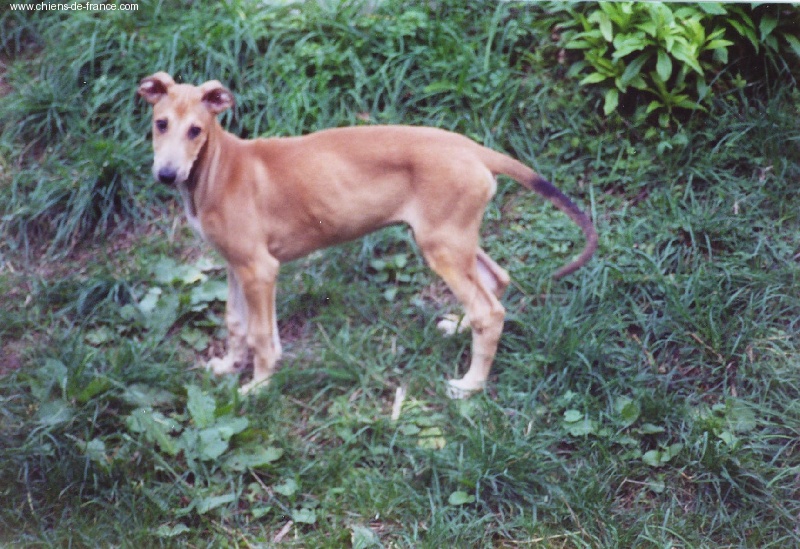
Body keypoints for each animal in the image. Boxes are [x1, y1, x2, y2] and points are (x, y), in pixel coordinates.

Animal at [137, 72, 598, 398]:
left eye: (196, 130)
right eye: (161, 124)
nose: (166, 175)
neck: (217, 169)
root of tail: (472, 148)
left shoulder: (259, 269)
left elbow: (261, 335)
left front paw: (260, 386)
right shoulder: (236, 266)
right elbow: (236, 323)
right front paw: (230, 367)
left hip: (442, 246)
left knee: (490, 311)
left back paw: (470, 386)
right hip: (452, 239)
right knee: (495, 280)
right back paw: (459, 327)